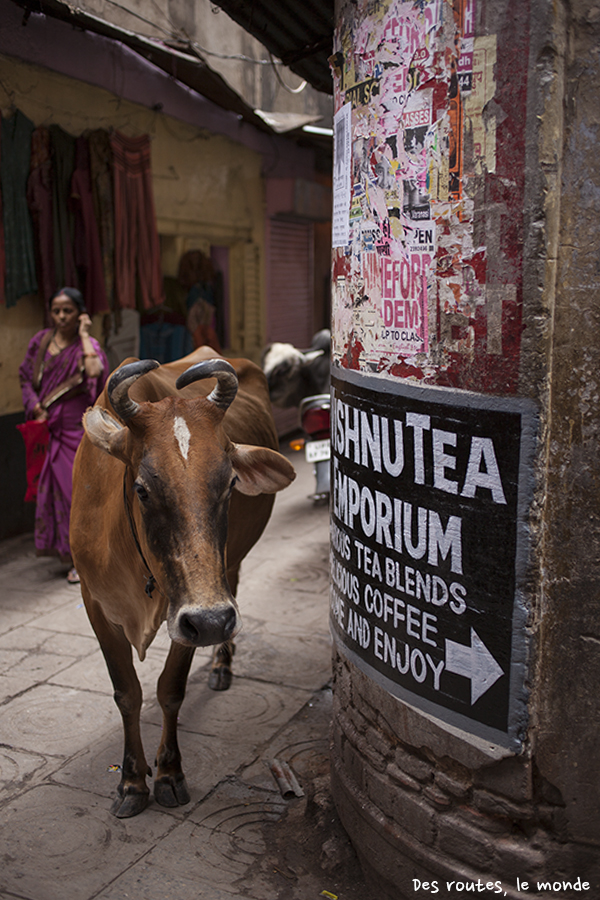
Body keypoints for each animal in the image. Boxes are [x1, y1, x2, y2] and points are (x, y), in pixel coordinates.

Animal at [70, 348, 296, 820]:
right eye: (142, 488)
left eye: (230, 482)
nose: (213, 622)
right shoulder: (95, 603)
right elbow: (127, 692)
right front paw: (132, 781)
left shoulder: (192, 612)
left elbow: (169, 689)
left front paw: (169, 774)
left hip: (228, 569)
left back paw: (222, 666)